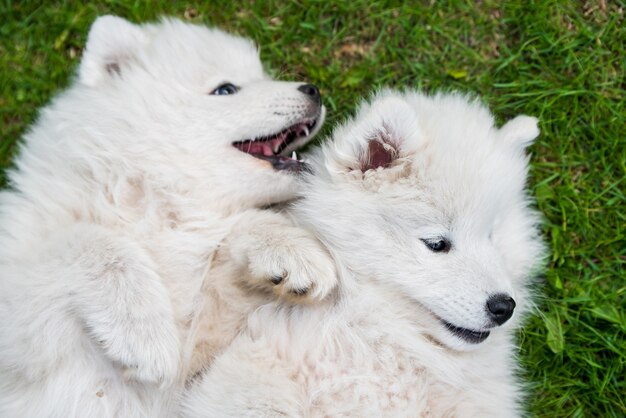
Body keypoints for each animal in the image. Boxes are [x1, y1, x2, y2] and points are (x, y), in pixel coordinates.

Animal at [0, 14, 336, 416]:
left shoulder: (198, 355)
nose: (314, 89)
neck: (156, 204)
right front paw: (143, 334)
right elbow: (89, 241)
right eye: (226, 89)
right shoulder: (22, 320)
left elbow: (239, 228)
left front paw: (291, 250)